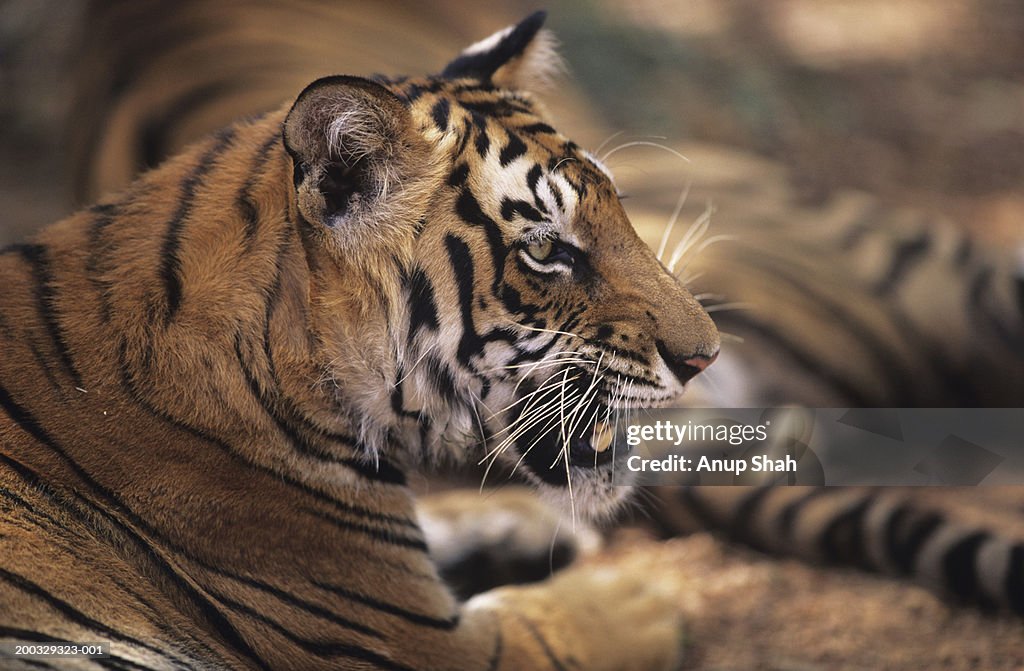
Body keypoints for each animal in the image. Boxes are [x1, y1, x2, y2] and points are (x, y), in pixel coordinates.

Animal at [2, 11, 720, 671]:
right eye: (546, 250)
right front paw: (641, 598)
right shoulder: (431, 642)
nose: (705, 356)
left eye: (619, 210)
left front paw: (520, 523)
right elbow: (558, 628)